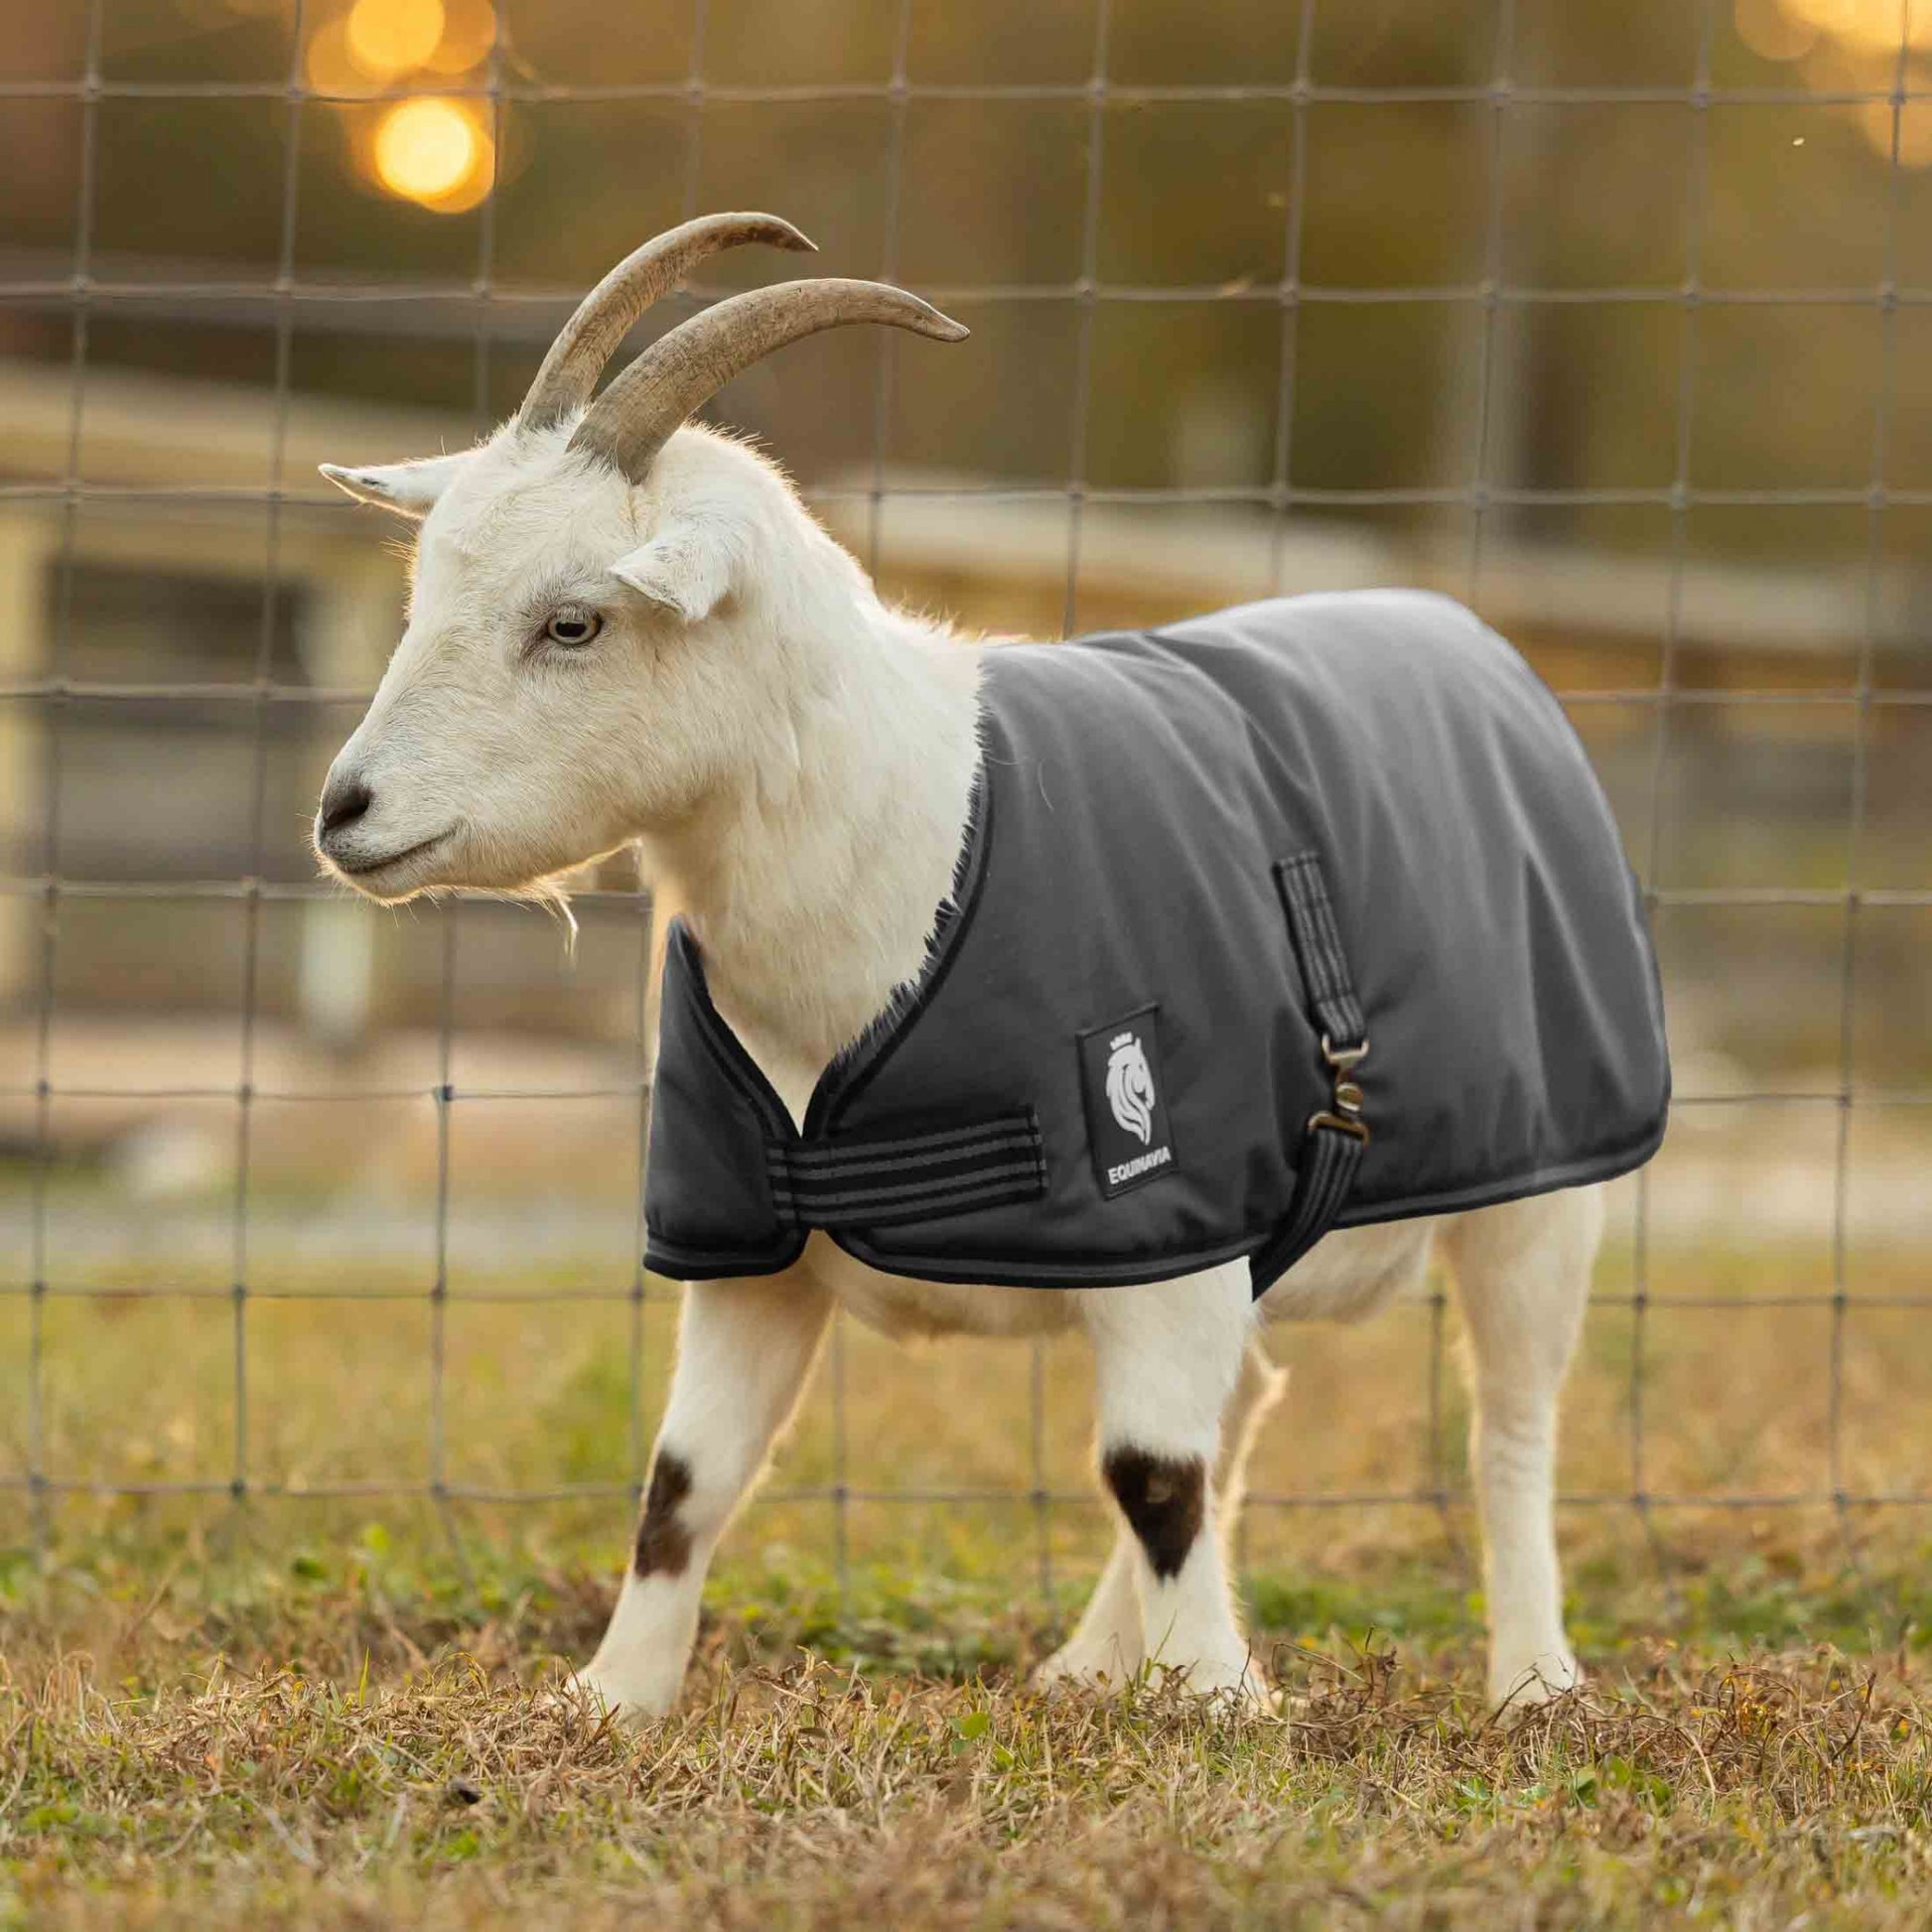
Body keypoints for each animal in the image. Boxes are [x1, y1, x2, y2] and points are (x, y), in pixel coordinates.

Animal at [313, 214, 1668, 1721]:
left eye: (572, 622)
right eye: (429, 587)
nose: (346, 812)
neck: (919, 846)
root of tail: (1475, 640)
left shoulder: (1165, 1214)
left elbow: (1149, 1472)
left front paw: (1224, 1704)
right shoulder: (753, 1254)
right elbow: (684, 1483)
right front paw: (613, 1698)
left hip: (1543, 1186)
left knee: (1507, 1421)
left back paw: (1530, 1679)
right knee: (1247, 1398)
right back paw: (1087, 1666)